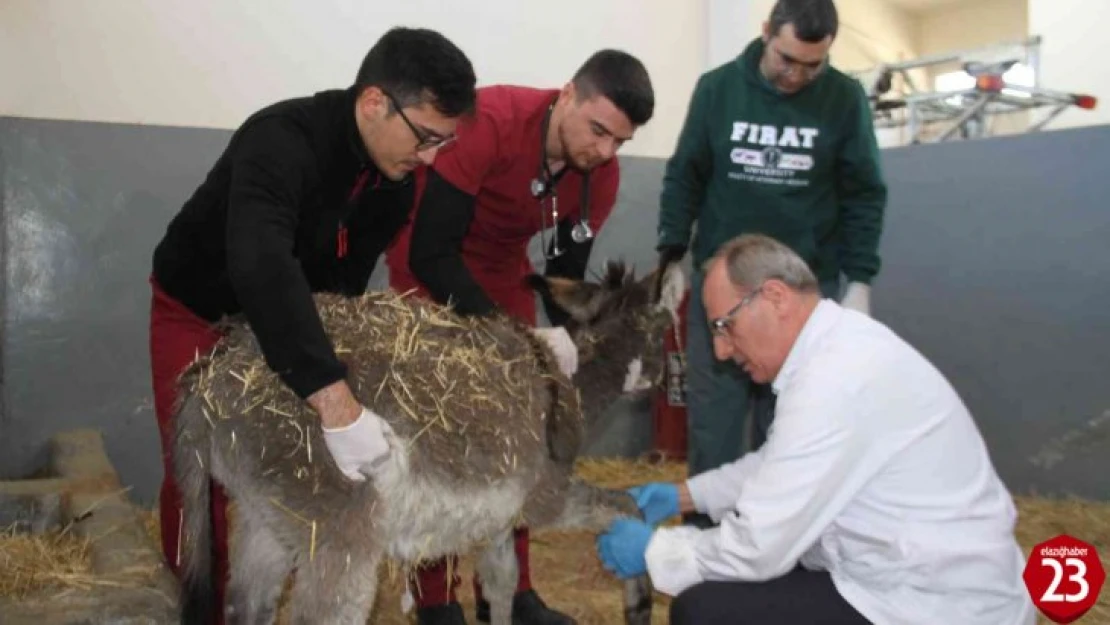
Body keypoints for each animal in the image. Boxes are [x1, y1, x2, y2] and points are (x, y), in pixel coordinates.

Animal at [170, 261, 683, 621]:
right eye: (664, 329)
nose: (663, 382)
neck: (565, 383)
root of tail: (211, 383)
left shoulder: (499, 520)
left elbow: (501, 583)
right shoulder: (546, 501)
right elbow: (626, 508)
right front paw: (638, 604)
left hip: (266, 519)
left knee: (246, 604)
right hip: (340, 538)